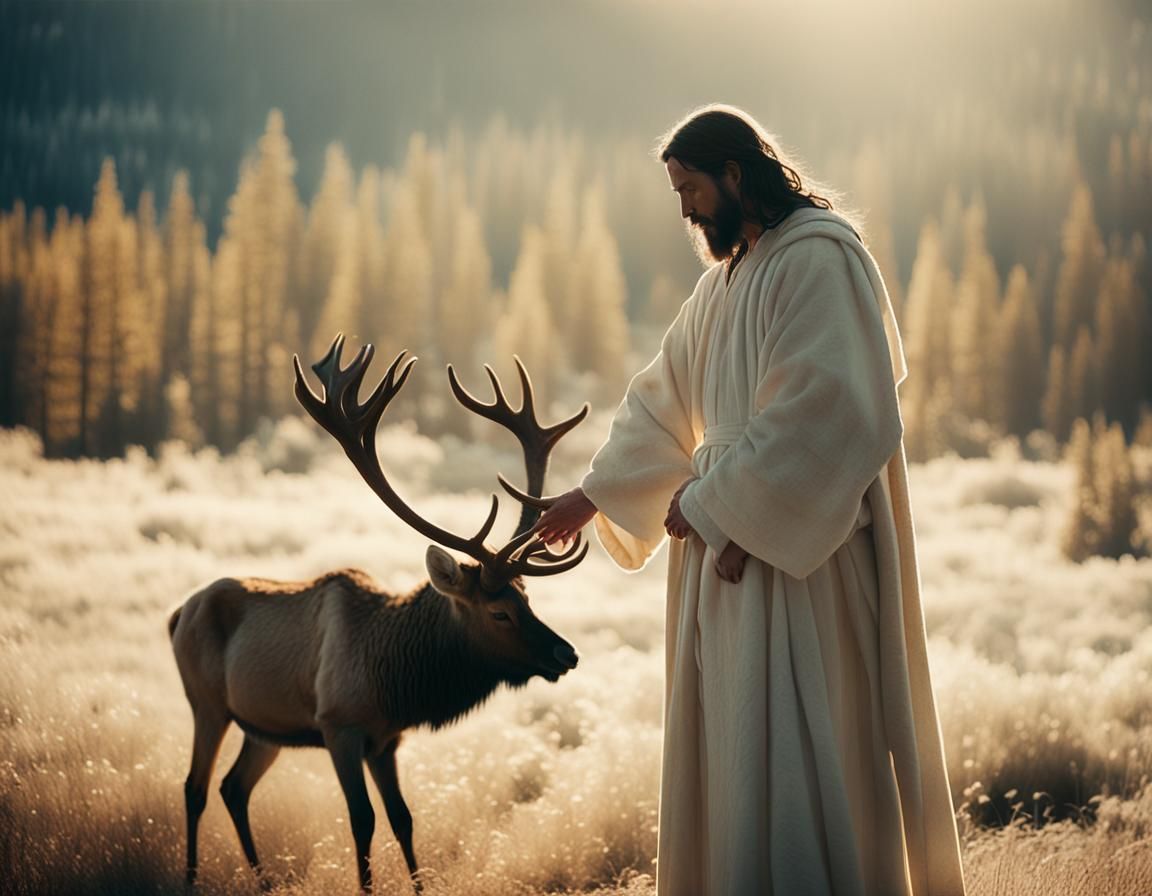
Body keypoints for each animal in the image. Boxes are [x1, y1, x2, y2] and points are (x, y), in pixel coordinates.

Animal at [169, 334, 590, 893]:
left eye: (528, 598)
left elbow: (404, 818)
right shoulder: (339, 726)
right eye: (500, 612)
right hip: (206, 703)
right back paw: (191, 877)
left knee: (233, 788)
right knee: (194, 787)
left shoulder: (387, 740)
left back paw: (261, 880)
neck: (395, 678)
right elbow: (362, 820)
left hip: (263, 726)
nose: (566, 654)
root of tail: (178, 613)